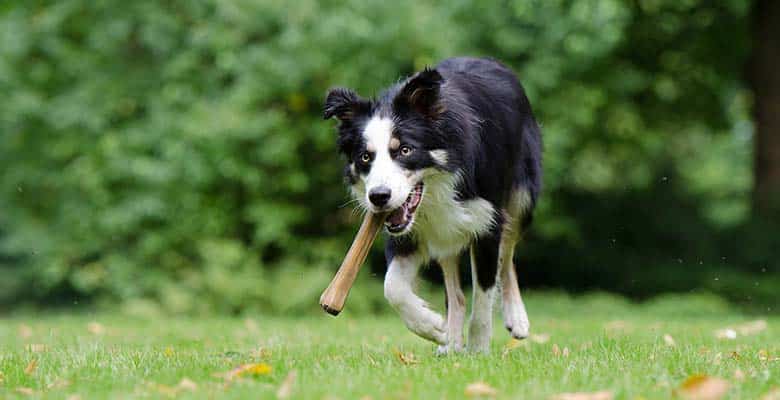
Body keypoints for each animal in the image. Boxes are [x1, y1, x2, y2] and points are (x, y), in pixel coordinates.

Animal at [322, 57, 544, 354]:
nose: (379, 197)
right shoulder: (405, 233)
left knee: (507, 255)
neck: (438, 187)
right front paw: (434, 328)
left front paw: (479, 350)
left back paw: (516, 318)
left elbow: (484, 296)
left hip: (521, 196)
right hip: (445, 234)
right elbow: (392, 288)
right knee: (456, 292)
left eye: (405, 150)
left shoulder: (488, 221)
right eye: (365, 157)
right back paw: (451, 342)